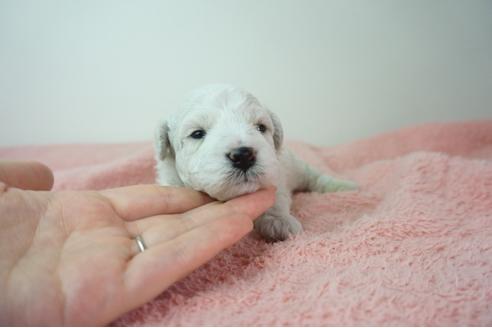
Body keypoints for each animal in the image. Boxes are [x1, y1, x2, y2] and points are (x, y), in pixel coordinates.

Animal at [155, 84, 358, 241]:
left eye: (261, 127)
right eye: (197, 134)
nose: (244, 155)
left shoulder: (276, 175)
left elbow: (276, 199)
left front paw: (279, 222)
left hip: (296, 166)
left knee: (315, 177)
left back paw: (346, 187)